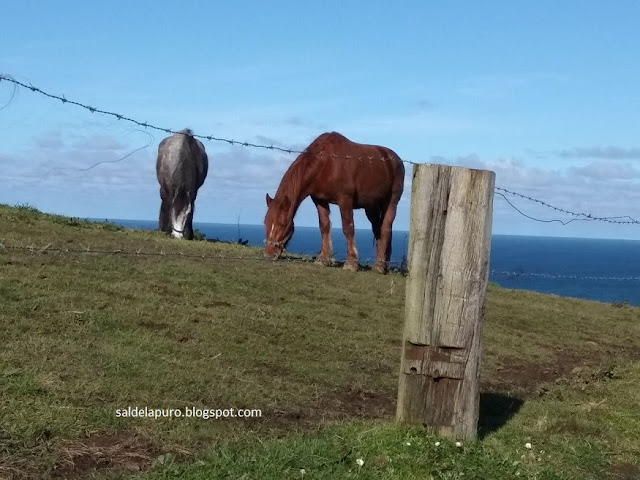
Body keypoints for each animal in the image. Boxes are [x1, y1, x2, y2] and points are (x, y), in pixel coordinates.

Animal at [264, 131, 404, 274]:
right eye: (266, 222)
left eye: (282, 224)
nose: (269, 254)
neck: (326, 162)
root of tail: (395, 159)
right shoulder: (319, 200)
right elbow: (324, 226)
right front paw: (323, 259)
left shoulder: (345, 199)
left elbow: (348, 228)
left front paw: (351, 262)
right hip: (371, 206)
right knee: (378, 229)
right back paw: (384, 264)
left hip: (391, 201)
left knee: (386, 228)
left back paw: (379, 266)